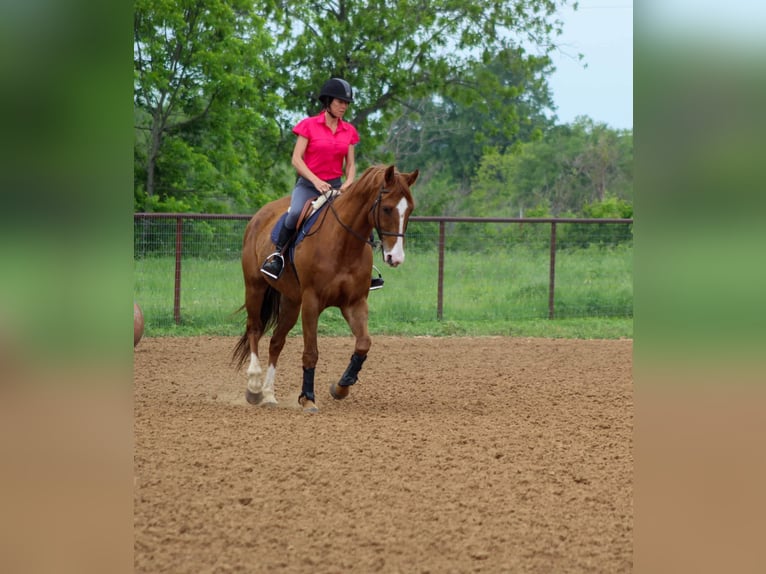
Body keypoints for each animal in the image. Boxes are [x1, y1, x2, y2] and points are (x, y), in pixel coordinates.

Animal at [232, 164, 420, 412]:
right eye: (387, 209)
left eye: (410, 210)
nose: (396, 258)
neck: (343, 243)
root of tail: (260, 216)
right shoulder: (312, 302)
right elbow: (311, 352)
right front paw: (308, 398)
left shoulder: (354, 303)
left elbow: (363, 344)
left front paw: (341, 387)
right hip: (255, 287)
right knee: (254, 329)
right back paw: (254, 388)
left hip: (291, 301)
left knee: (276, 342)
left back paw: (269, 395)